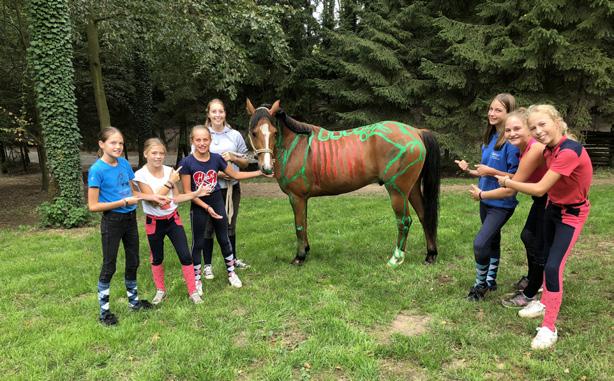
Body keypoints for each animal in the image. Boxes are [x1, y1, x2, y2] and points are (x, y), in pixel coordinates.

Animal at [247, 99, 442, 266]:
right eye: (253, 132)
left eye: (274, 132)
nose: (266, 168)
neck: (297, 145)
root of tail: (416, 132)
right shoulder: (303, 198)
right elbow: (305, 222)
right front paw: (306, 250)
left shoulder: (296, 197)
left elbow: (299, 225)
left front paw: (299, 257)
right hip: (412, 188)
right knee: (424, 216)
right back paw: (430, 255)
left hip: (397, 191)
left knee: (404, 221)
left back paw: (395, 259)